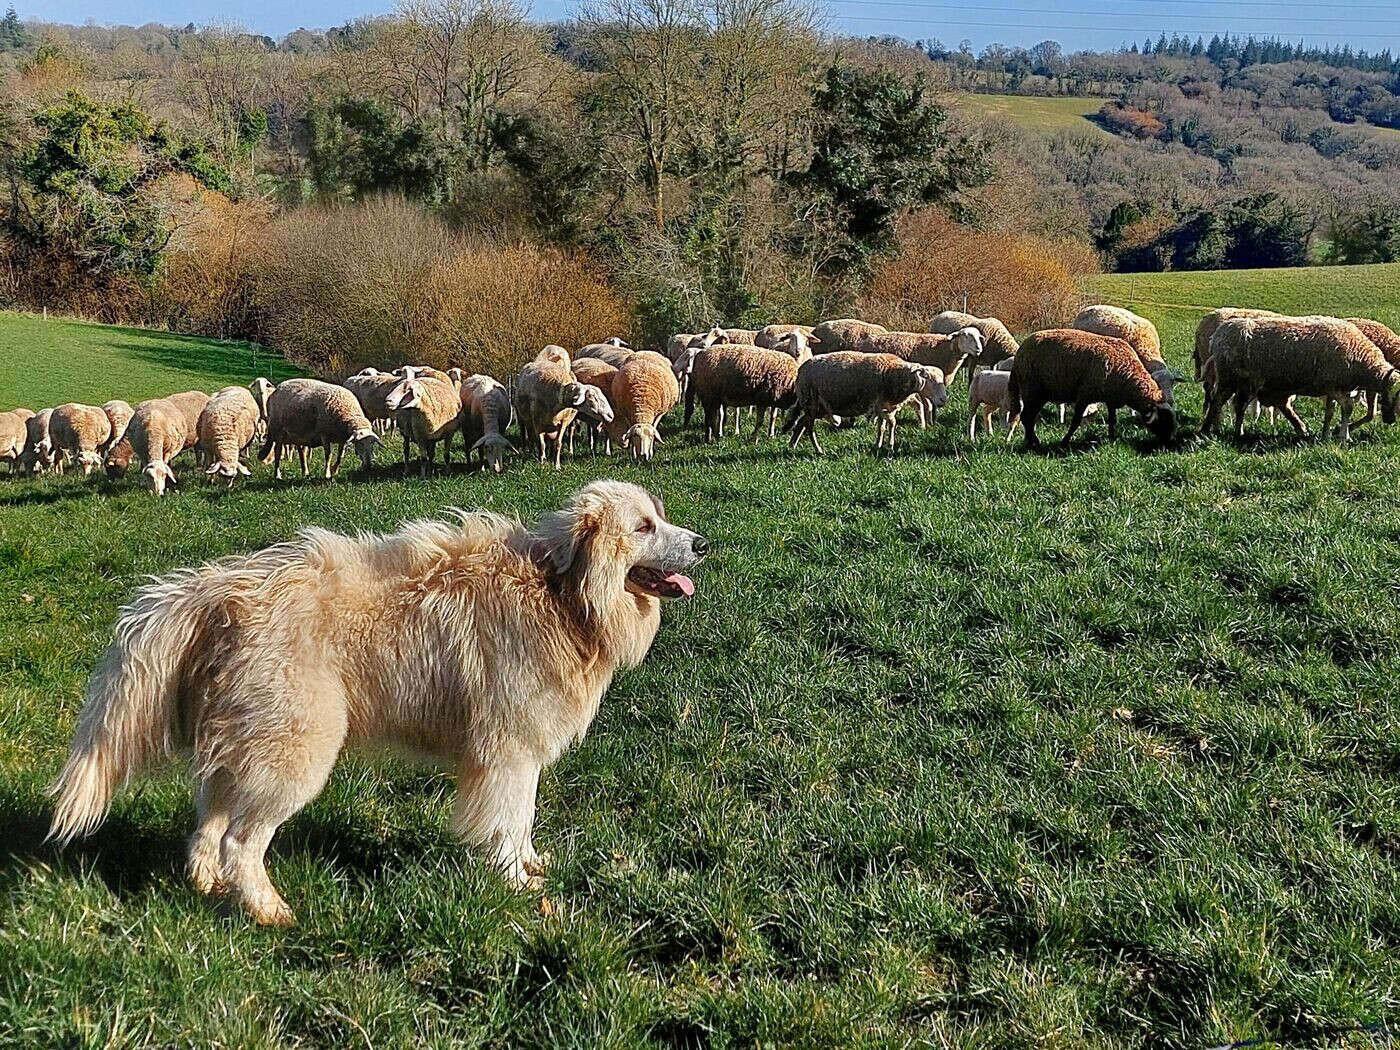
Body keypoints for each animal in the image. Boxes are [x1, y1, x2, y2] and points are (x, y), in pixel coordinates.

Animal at [47, 481, 705, 924]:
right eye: (644, 526)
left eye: (661, 517)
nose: (701, 542)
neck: (563, 593)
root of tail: (220, 588)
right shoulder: (508, 751)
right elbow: (509, 820)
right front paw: (518, 883)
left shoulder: (516, 754)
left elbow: (522, 822)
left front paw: (529, 863)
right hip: (295, 752)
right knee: (241, 841)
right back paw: (269, 911)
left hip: (244, 746)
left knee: (209, 824)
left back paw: (208, 886)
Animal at [789, 351, 952, 453]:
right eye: (929, 379)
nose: (943, 400)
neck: (894, 374)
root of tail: (801, 369)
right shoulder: (878, 406)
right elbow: (892, 423)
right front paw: (890, 445)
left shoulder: (886, 406)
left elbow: (883, 426)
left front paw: (879, 444)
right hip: (811, 403)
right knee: (809, 428)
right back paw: (818, 450)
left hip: (818, 407)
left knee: (802, 422)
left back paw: (792, 445)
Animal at [1002, 330, 1176, 450]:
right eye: (1163, 420)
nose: (1168, 444)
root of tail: (1019, 354)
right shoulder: (1084, 396)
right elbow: (1076, 421)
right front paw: (1064, 442)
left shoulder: (1111, 399)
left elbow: (1112, 420)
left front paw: (1112, 438)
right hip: (1032, 391)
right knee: (1027, 417)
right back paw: (1033, 442)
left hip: (1037, 393)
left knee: (1028, 417)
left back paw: (1030, 441)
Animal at [1204, 315, 1400, 442]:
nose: (1390, 421)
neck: (1361, 358)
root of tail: (1217, 335)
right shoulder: (1335, 386)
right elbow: (1348, 408)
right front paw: (1343, 437)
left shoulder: (1332, 387)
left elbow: (1330, 412)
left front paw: (1326, 434)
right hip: (1234, 379)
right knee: (1223, 403)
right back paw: (1217, 432)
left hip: (1244, 382)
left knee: (1236, 404)